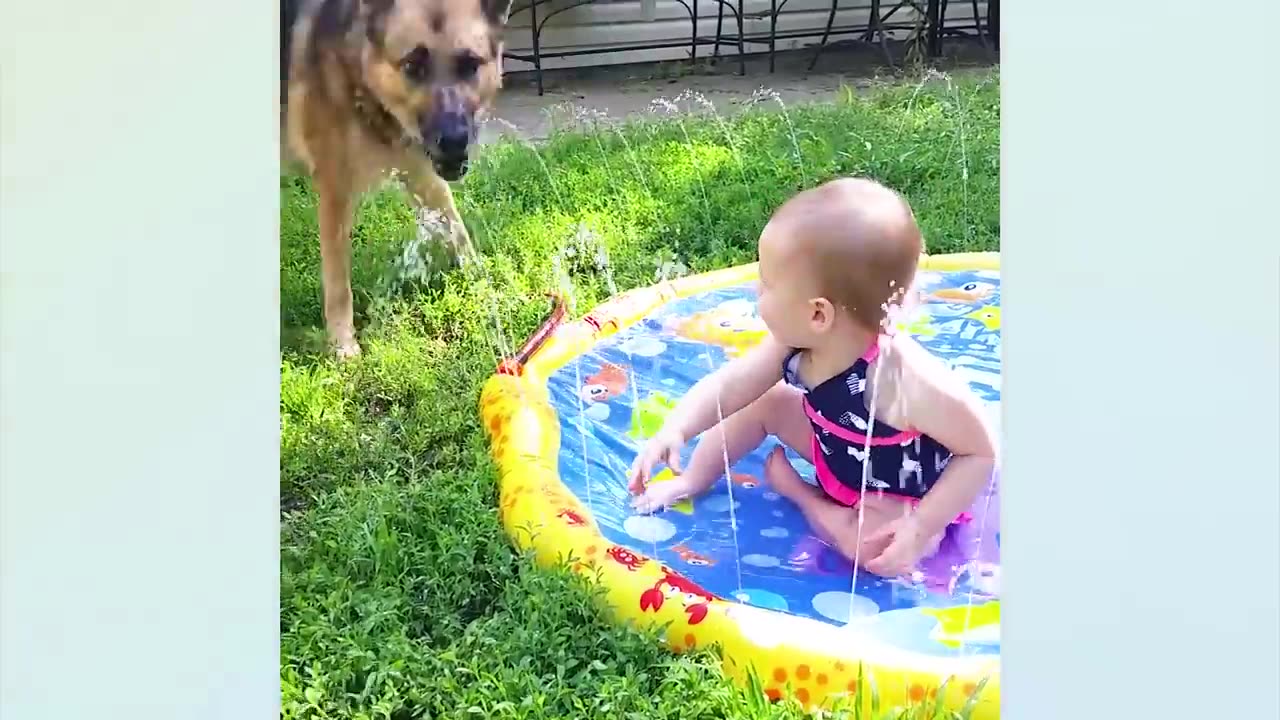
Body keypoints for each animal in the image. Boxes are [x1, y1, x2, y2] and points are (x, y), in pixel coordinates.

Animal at [284, 0, 509, 356]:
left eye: (470, 64)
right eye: (413, 66)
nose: (454, 141)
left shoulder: (421, 173)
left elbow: (456, 229)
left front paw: (485, 285)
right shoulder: (335, 190)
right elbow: (337, 280)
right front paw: (343, 344)